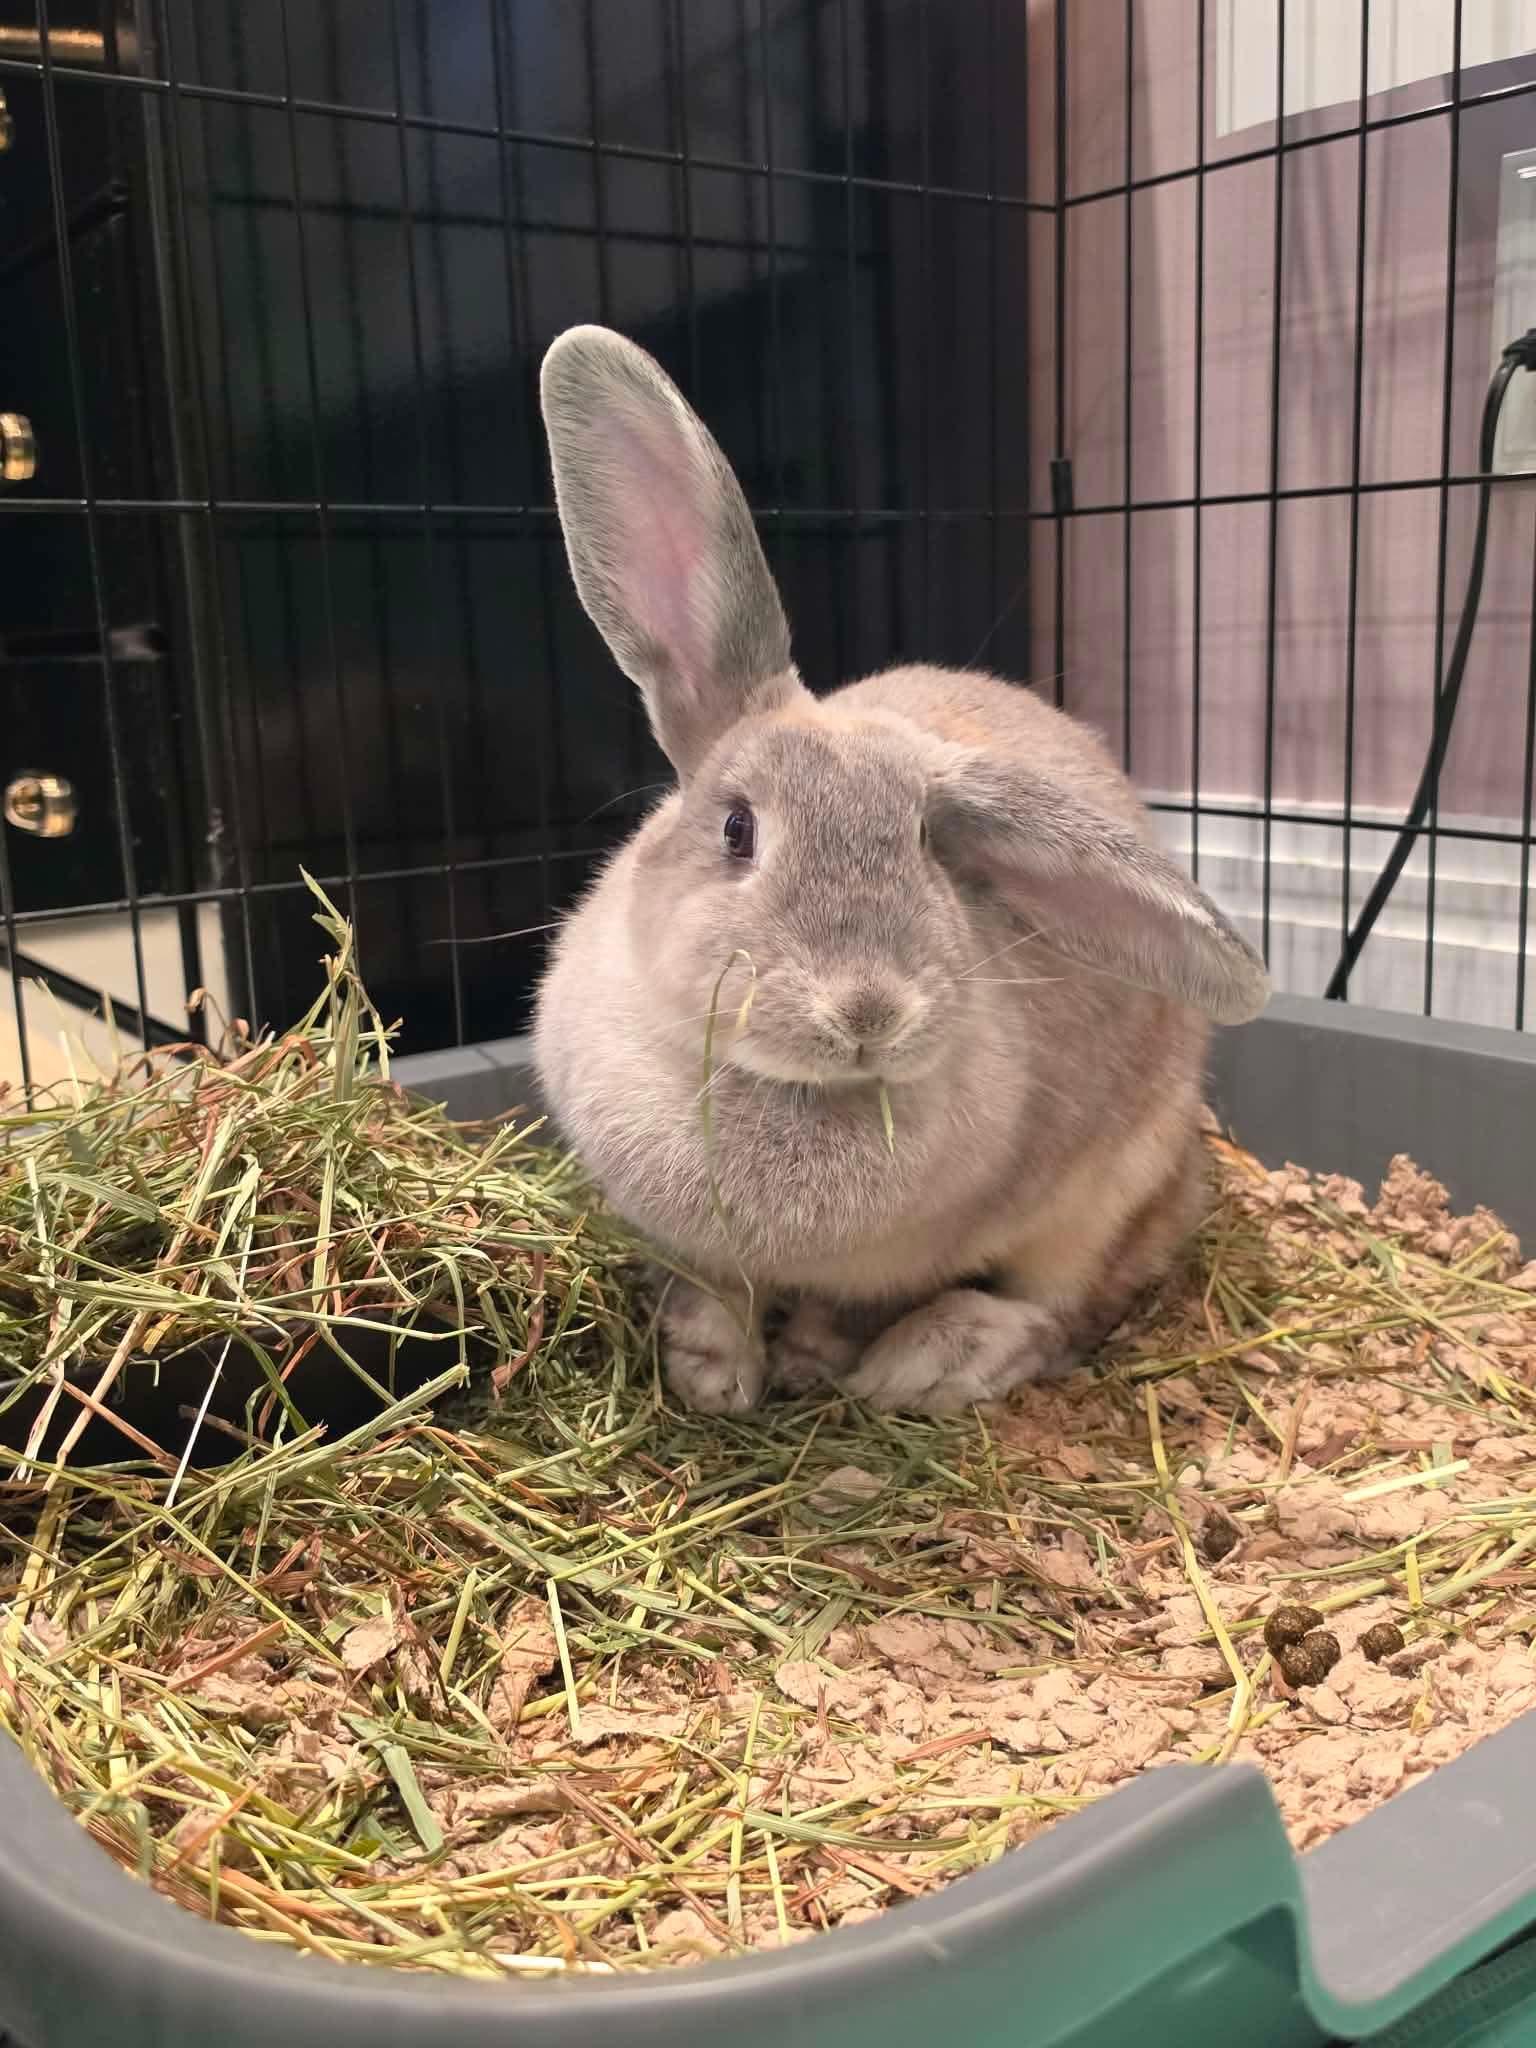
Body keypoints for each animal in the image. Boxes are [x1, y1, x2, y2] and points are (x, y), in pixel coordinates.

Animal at [532, 324, 1270, 1417]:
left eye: (930, 845)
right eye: (738, 829)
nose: (869, 1012)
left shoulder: (915, 1259)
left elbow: (858, 1310)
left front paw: (812, 1365)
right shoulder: (686, 1240)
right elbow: (710, 1285)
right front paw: (712, 1371)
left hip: (1109, 1193)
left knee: (1063, 1308)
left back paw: (937, 1360)